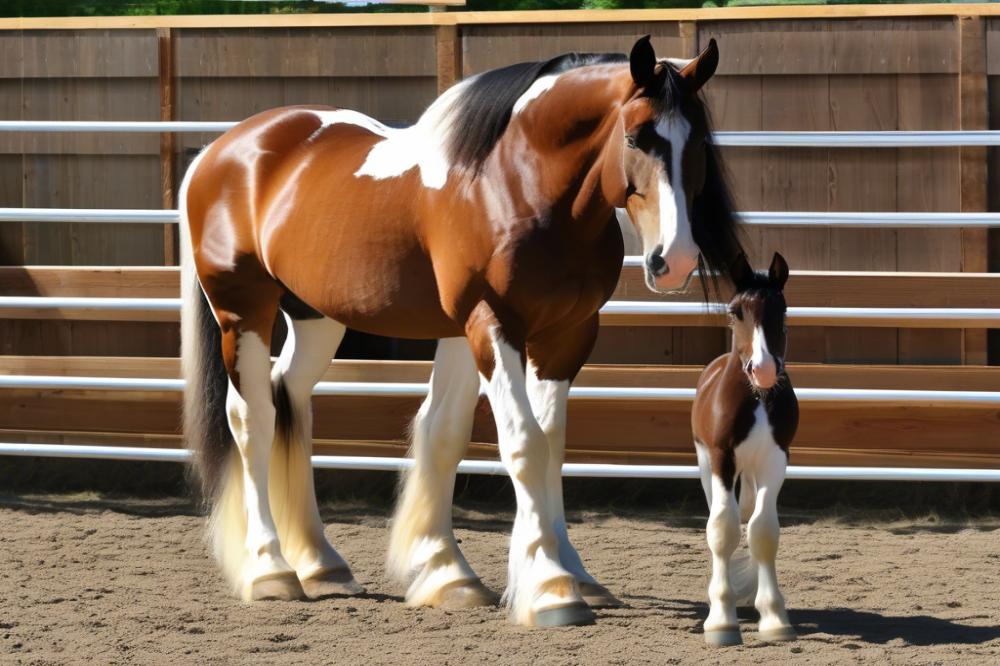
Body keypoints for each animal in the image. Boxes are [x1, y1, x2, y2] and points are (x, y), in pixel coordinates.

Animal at [180, 36, 744, 624]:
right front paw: (551, 588)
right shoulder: (490, 324)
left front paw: (471, 573)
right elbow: (523, 443)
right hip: (243, 310)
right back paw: (270, 569)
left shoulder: (561, 337)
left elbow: (504, 439)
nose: (674, 260)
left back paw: (322, 565)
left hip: (316, 318)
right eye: (636, 137)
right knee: (252, 418)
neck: (516, 184)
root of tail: (221, 150)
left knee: (290, 399)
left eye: (699, 144)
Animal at [692, 252, 800, 644]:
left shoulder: (775, 459)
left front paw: (774, 617)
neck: (757, 399)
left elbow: (763, 530)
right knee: (717, 518)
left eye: (782, 310)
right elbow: (722, 529)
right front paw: (721, 620)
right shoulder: (722, 457)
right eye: (736, 311)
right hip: (707, 465)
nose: (764, 369)